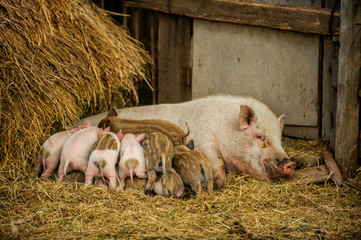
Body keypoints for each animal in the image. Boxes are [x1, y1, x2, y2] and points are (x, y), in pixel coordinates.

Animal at [80, 94, 296, 188]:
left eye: (279, 139)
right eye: (261, 137)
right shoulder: (205, 140)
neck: (225, 127)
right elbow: (215, 160)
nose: (290, 164)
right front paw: (220, 183)